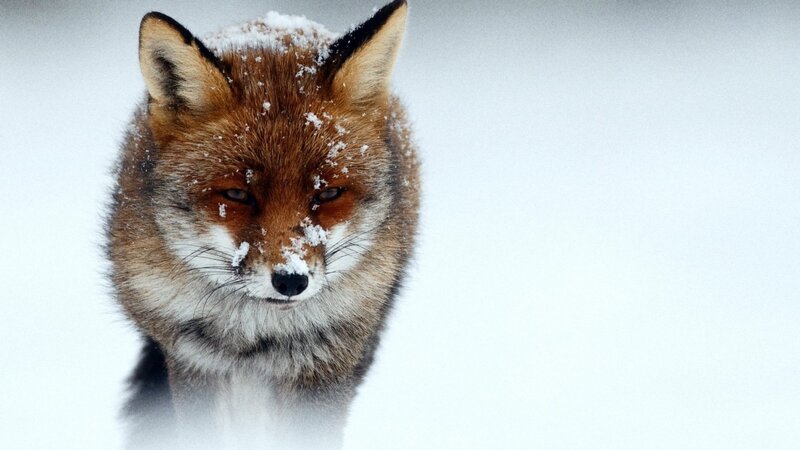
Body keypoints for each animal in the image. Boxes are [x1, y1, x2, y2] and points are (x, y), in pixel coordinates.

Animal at [105, 1, 419, 447]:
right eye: (238, 194)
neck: (256, 332)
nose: (291, 280)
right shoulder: (193, 358)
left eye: (328, 194)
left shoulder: (324, 362)